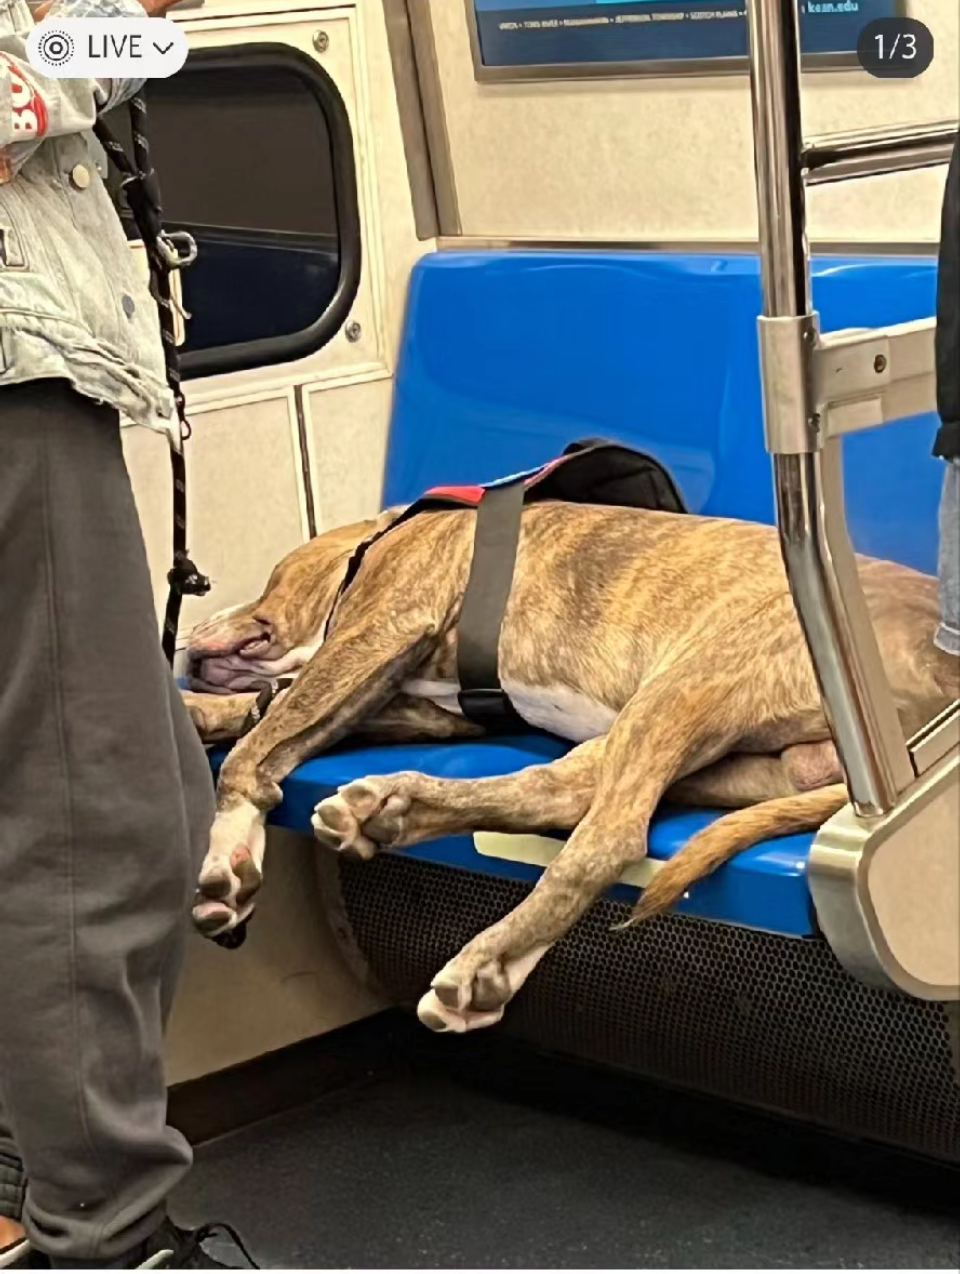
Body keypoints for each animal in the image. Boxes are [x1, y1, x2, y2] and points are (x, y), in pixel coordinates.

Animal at [183, 500, 957, 1033]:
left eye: (271, 580)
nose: (189, 636)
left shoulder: (381, 629)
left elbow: (256, 749)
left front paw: (229, 852)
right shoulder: (429, 707)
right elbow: (269, 715)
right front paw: (203, 713)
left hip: (689, 682)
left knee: (607, 837)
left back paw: (487, 962)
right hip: (709, 748)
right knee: (558, 794)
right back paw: (394, 809)